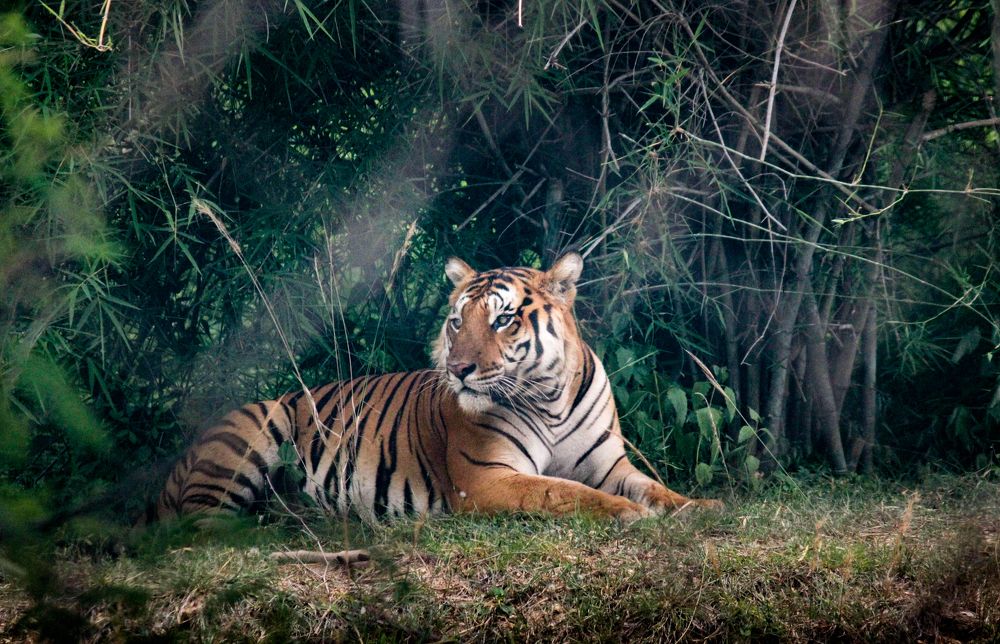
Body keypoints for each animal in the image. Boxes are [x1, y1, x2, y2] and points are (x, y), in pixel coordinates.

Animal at [154, 253, 722, 523]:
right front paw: (627, 514)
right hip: (254, 430)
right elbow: (561, 491)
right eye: (456, 321)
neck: (549, 398)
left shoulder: (611, 466)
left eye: (502, 320)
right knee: (199, 527)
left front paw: (701, 507)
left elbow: (655, 487)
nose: (458, 368)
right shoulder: (490, 477)